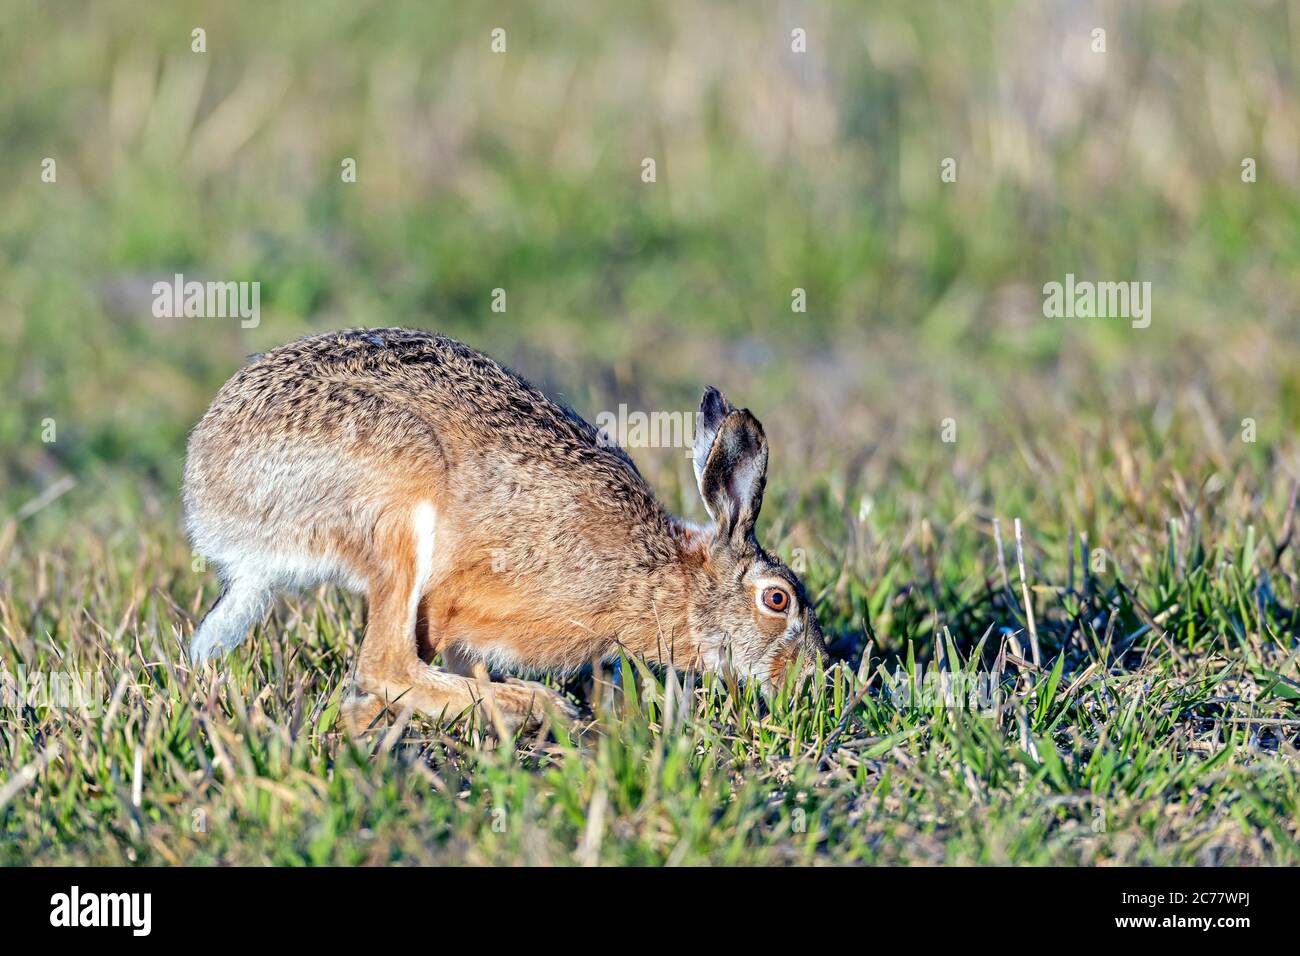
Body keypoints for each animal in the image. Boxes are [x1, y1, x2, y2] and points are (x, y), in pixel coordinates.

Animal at [183, 328, 826, 735]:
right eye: (777, 600)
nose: (812, 679)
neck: (664, 578)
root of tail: (208, 495)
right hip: (400, 492)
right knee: (384, 663)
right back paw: (534, 706)